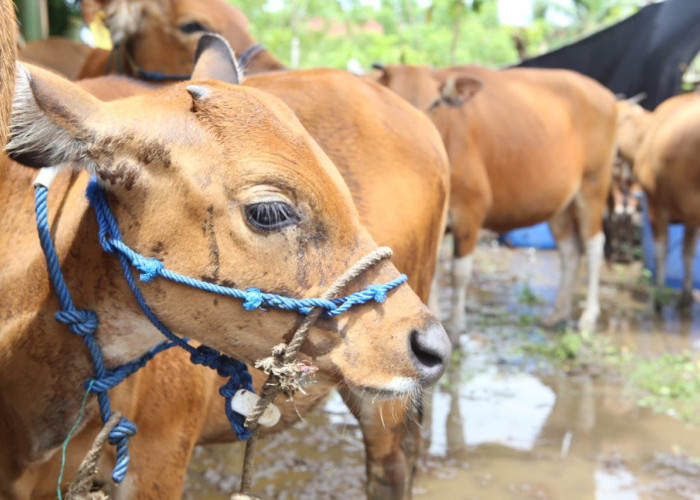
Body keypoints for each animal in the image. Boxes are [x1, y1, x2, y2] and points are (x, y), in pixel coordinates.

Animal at [372, 64, 616, 340]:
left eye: (435, 103)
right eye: (389, 96)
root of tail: (607, 96)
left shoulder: (471, 208)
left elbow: (459, 273)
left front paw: (457, 324)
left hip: (593, 184)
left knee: (594, 247)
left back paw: (588, 317)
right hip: (561, 204)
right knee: (570, 251)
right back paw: (558, 313)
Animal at [616, 92, 700, 306]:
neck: (646, 134)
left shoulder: (656, 205)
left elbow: (660, 251)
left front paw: (659, 296)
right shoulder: (692, 216)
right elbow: (688, 253)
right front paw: (686, 294)